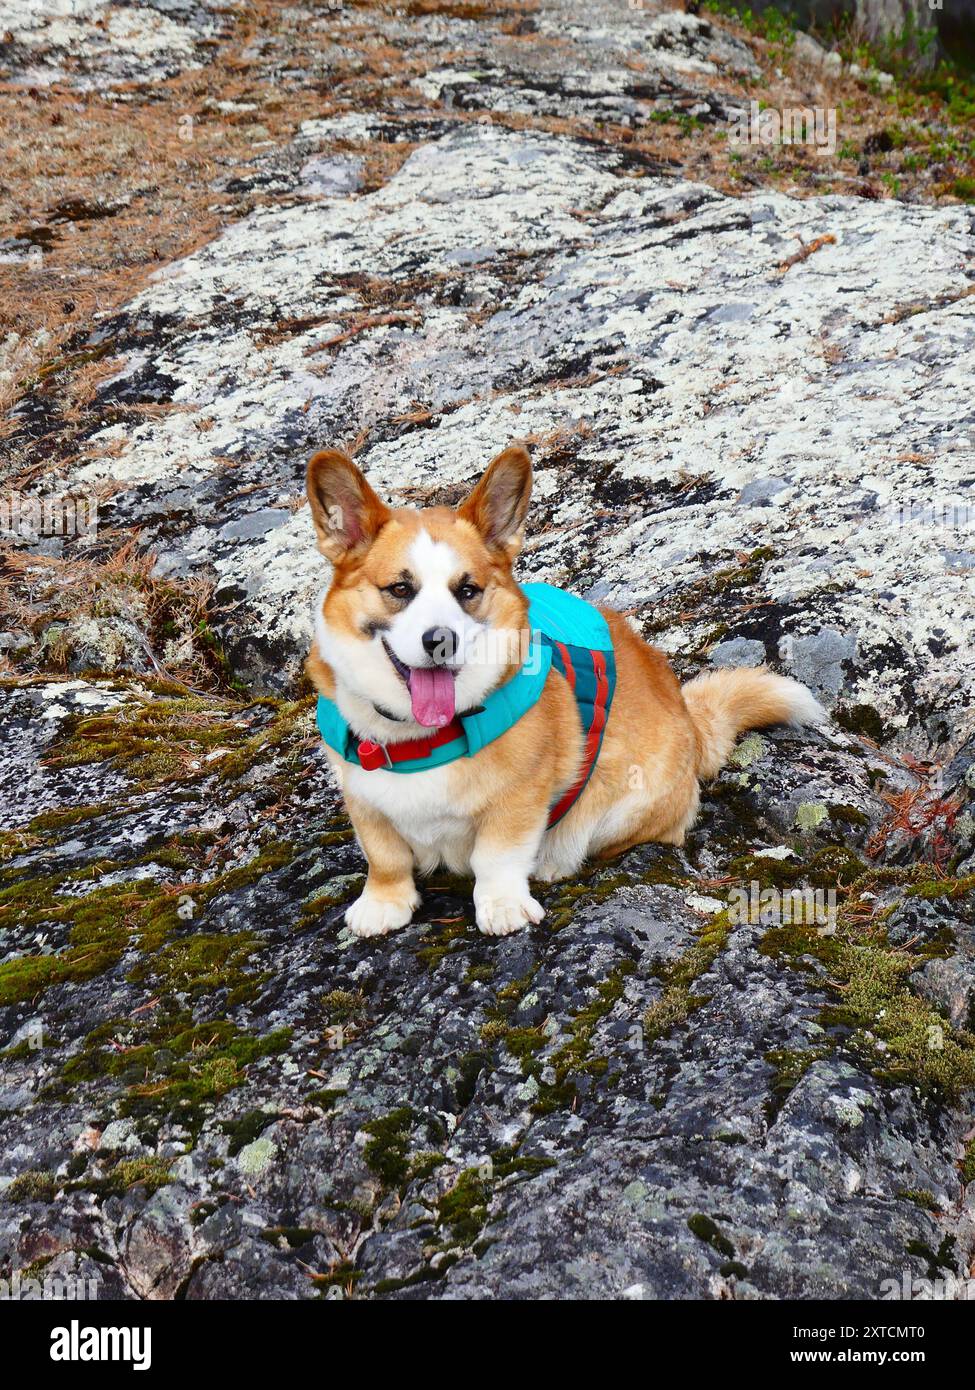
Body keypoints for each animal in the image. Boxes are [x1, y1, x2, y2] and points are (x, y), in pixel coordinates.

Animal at [304, 442, 823, 945]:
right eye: (399, 589)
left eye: (467, 590)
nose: (441, 640)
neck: (418, 738)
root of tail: (690, 719)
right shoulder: (365, 800)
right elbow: (385, 857)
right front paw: (383, 904)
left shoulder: (519, 800)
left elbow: (496, 856)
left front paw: (503, 906)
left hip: (628, 802)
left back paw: (555, 860)